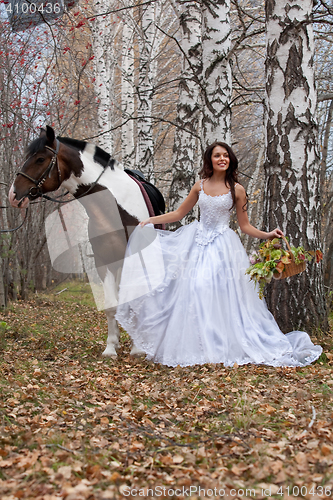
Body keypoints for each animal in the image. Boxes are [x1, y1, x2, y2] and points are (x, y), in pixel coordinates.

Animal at [9, 127, 165, 358]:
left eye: (40, 159)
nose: (13, 194)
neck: (113, 207)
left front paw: (137, 348)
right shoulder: (103, 262)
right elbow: (111, 305)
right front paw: (111, 347)